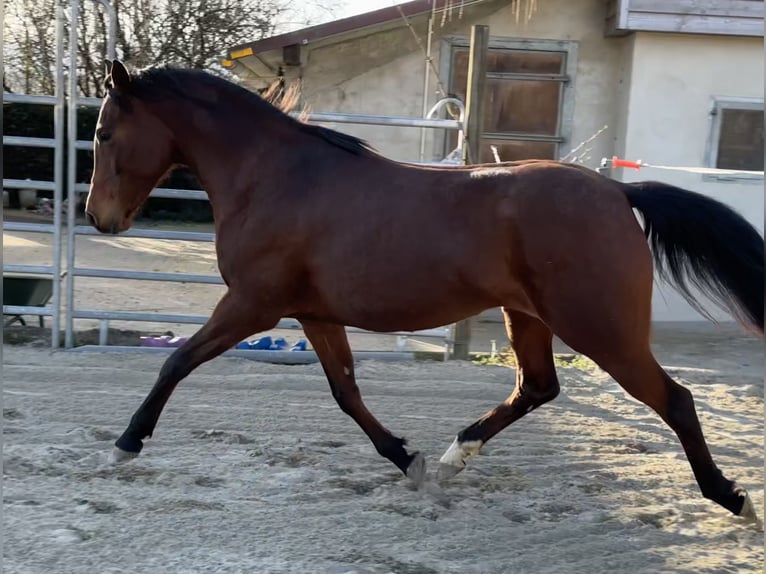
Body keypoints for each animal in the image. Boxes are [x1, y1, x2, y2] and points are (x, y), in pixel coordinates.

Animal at [86, 60, 764, 521]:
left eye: (103, 134)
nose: (99, 218)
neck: (275, 177)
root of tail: (619, 192)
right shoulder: (313, 315)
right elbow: (346, 393)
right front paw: (407, 460)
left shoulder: (253, 306)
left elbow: (176, 361)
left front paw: (124, 446)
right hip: (529, 317)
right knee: (538, 387)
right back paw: (452, 457)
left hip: (600, 328)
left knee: (675, 400)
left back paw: (732, 499)